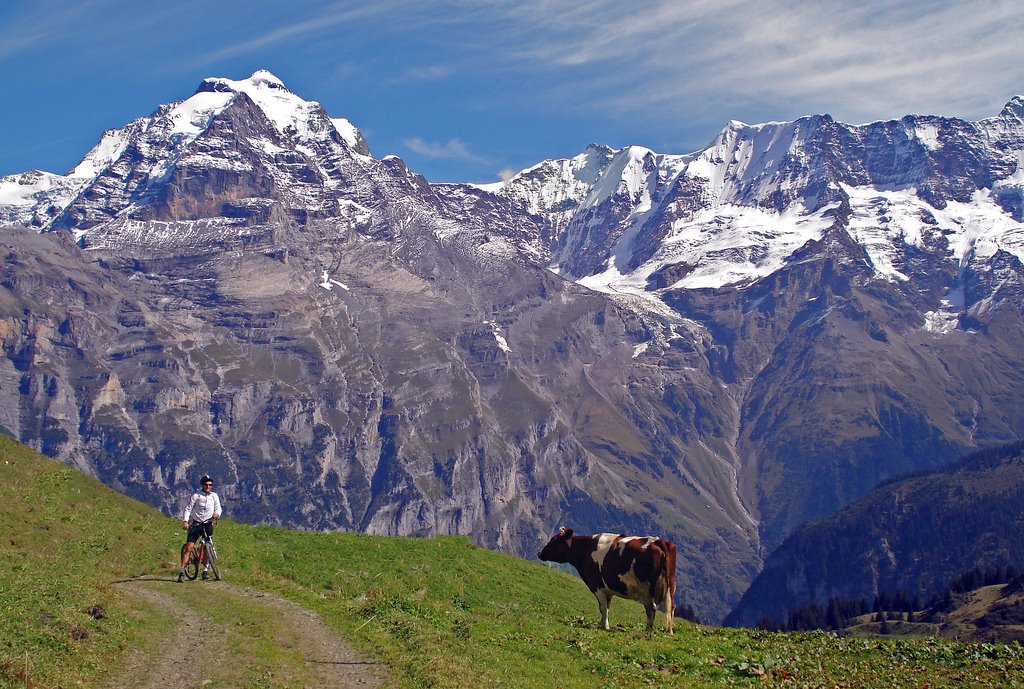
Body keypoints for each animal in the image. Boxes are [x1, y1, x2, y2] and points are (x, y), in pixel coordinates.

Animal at [540, 528, 675, 634]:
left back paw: (648, 632)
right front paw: (602, 624)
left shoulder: (597, 585)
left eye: (554, 541)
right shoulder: (607, 589)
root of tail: (657, 541)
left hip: (646, 589)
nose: (539, 553)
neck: (586, 549)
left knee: (651, 608)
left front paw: (605, 626)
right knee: (670, 607)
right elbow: (607, 606)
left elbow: (603, 607)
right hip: (670, 587)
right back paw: (669, 632)